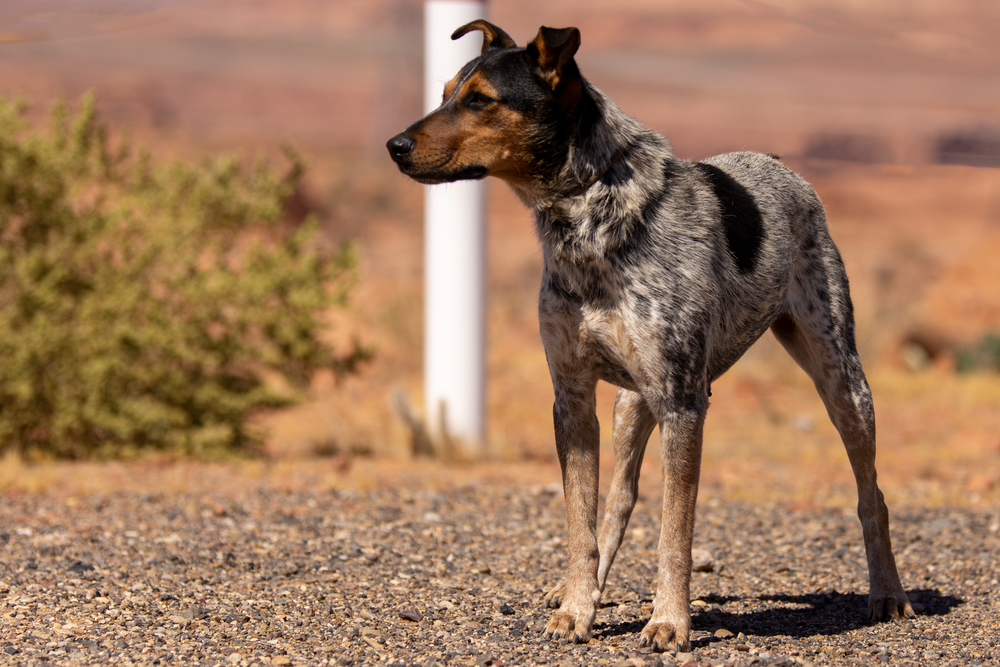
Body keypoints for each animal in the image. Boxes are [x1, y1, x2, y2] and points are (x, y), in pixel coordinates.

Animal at [384, 22, 916, 652]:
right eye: (444, 92)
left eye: (481, 100)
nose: (394, 145)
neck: (585, 225)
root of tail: (778, 164)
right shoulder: (573, 398)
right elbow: (582, 520)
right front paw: (578, 607)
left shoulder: (683, 403)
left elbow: (675, 532)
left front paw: (669, 621)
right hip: (628, 402)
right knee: (619, 498)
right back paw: (584, 589)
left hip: (840, 380)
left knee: (872, 494)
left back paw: (888, 594)